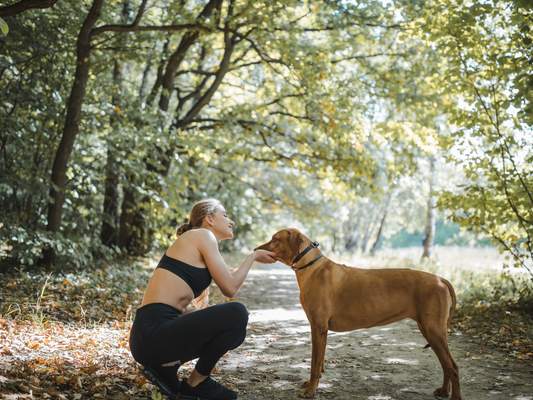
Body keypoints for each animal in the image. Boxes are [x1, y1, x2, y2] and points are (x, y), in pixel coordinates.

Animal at [256, 228, 460, 400]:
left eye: (274, 239)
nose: (255, 249)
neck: (311, 267)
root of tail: (441, 279)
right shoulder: (322, 329)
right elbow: (320, 362)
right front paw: (312, 383)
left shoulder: (318, 327)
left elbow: (314, 364)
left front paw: (311, 390)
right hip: (429, 329)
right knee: (446, 365)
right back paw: (444, 391)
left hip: (433, 330)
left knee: (453, 367)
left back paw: (455, 396)